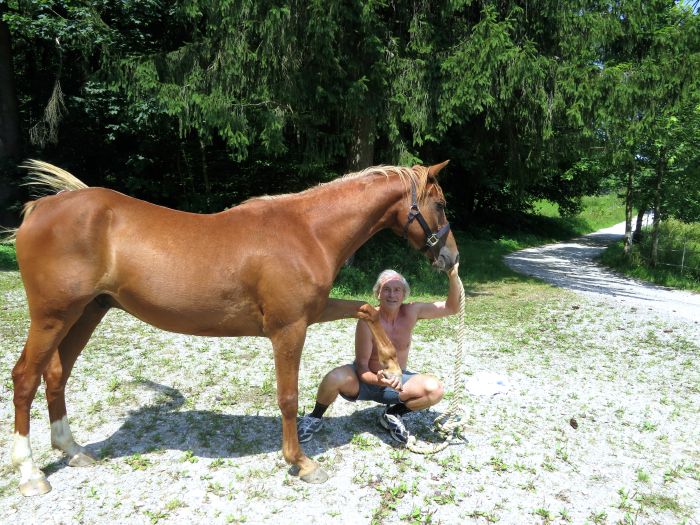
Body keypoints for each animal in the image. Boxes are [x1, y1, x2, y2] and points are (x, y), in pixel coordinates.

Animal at [12, 160, 460, 496]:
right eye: (440, 203)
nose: (451, 258)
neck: (308, 232)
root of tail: (42, 209)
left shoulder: (312, 311)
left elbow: (366, 308)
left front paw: (390, 366)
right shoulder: (289, 328)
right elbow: (288, 398)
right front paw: (301, 463)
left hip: (88, 312)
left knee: (56, 375)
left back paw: (72, 450)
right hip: (53, 317)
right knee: (25, 378)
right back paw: (30, 474)